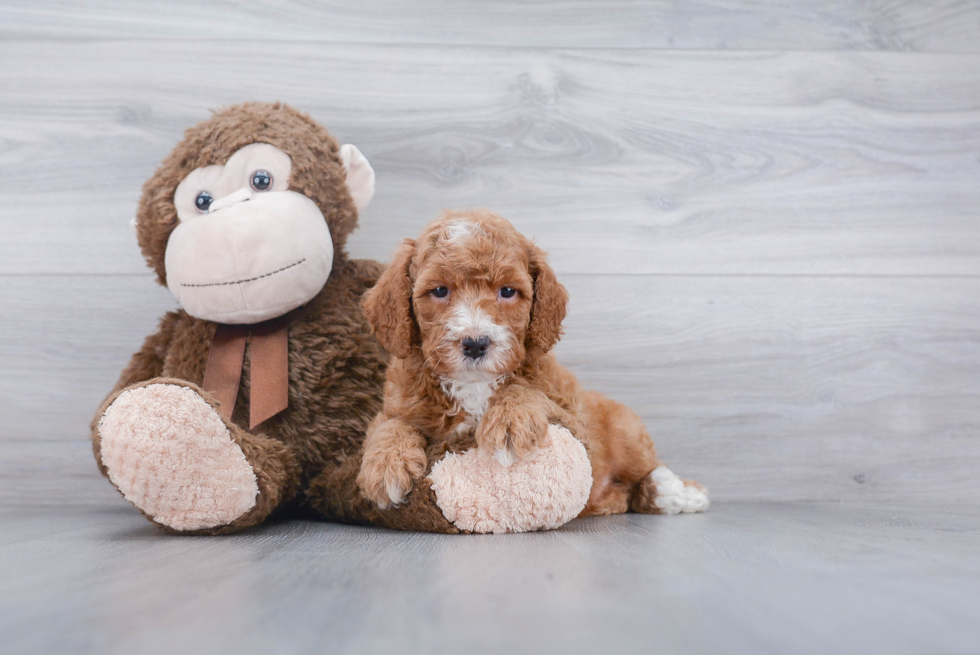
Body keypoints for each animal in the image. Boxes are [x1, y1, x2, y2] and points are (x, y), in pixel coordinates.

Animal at [356, 210, 708, 516]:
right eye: (440, 290)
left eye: (508, 291)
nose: (475, 343)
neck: (474, 384)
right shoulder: (399, 404)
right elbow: (390, 424)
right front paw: (386, 465)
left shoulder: (577, 424)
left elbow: (526, 391)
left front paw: (510, 420)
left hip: (627, 430)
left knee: (647, 469)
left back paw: (676, 491)